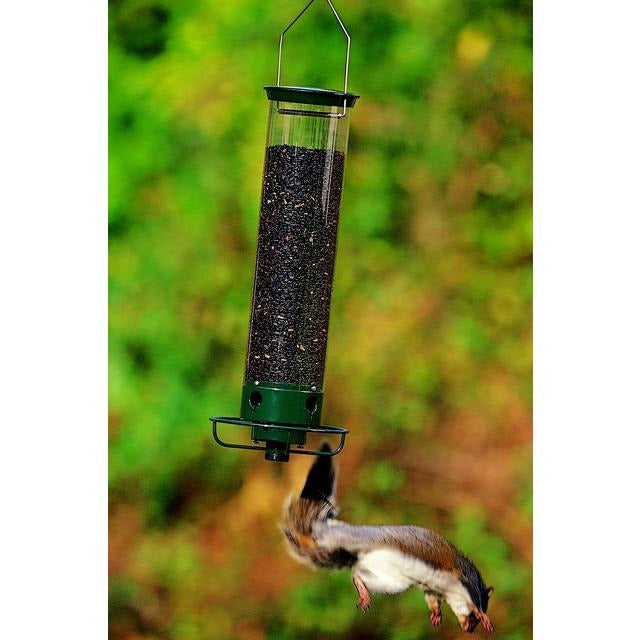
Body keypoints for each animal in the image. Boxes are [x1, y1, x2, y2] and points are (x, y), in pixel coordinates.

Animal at [282, 443, 494, 634]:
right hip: (344, 541)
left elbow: (432, 601)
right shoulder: (463, 579)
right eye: (473, 619)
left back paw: (363, 592)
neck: (450, 591)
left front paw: (436, 614)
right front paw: (482, 615)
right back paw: (298, 537)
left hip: (390, 581)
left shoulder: (432, 590)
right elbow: (472, 601)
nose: (469, 630)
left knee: (357, 574)